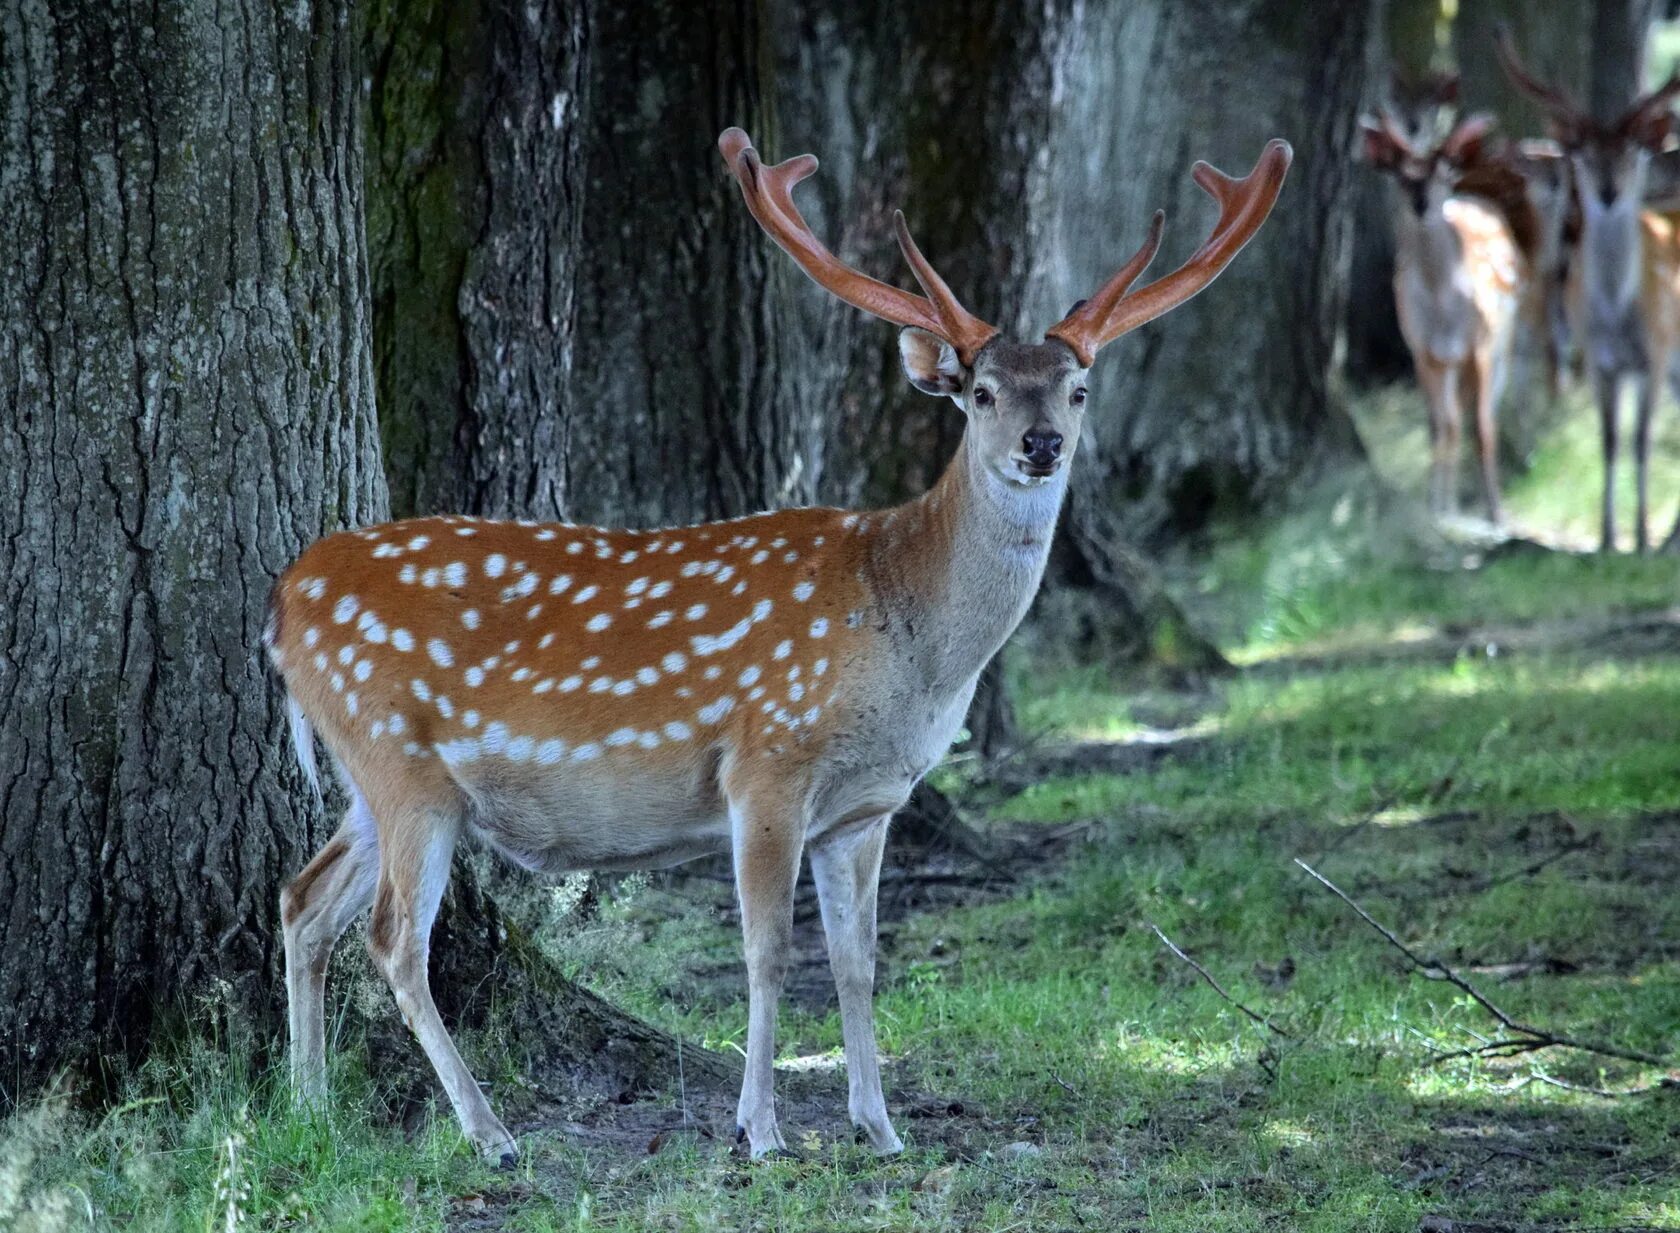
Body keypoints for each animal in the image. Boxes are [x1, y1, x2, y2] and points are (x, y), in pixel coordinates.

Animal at [265, 127, 1283, 1169]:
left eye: (1077, 389)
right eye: (982, 390)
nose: (1041, 443)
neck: (909, 643)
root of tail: (282, 603)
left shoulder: (864, 806)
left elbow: (858, 960)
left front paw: (881, 1126)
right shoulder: (766, 759)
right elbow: (767, 951)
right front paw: (760, 1128)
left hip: (373, 776)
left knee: (303, 900)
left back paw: (310, 1108)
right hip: (401, 761)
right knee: (393, 937)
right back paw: (490, 1131)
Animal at [1364, 110, 1538, 527]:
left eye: (1441, 172)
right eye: (1401, 175)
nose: (1421, 202)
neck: (1442, 304)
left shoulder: (1481, 343)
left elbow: (1482, 427)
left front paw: (1495, 512)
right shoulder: (1422, 350)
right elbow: (1439, 426)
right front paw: (1438, 508)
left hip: (1509, 337)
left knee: (1503, 402)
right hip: (1453, 361)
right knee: (1455, 416)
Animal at [1498, 31, 1680, 554]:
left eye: (1633, 151)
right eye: (1581, 152)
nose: (1608, 191)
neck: (1618, 312)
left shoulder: (1656, 353)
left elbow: (1640, 442)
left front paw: (1640, 538)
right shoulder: (1600, 362)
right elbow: (1609, 440)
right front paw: (1607, 537)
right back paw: (1672, 538)